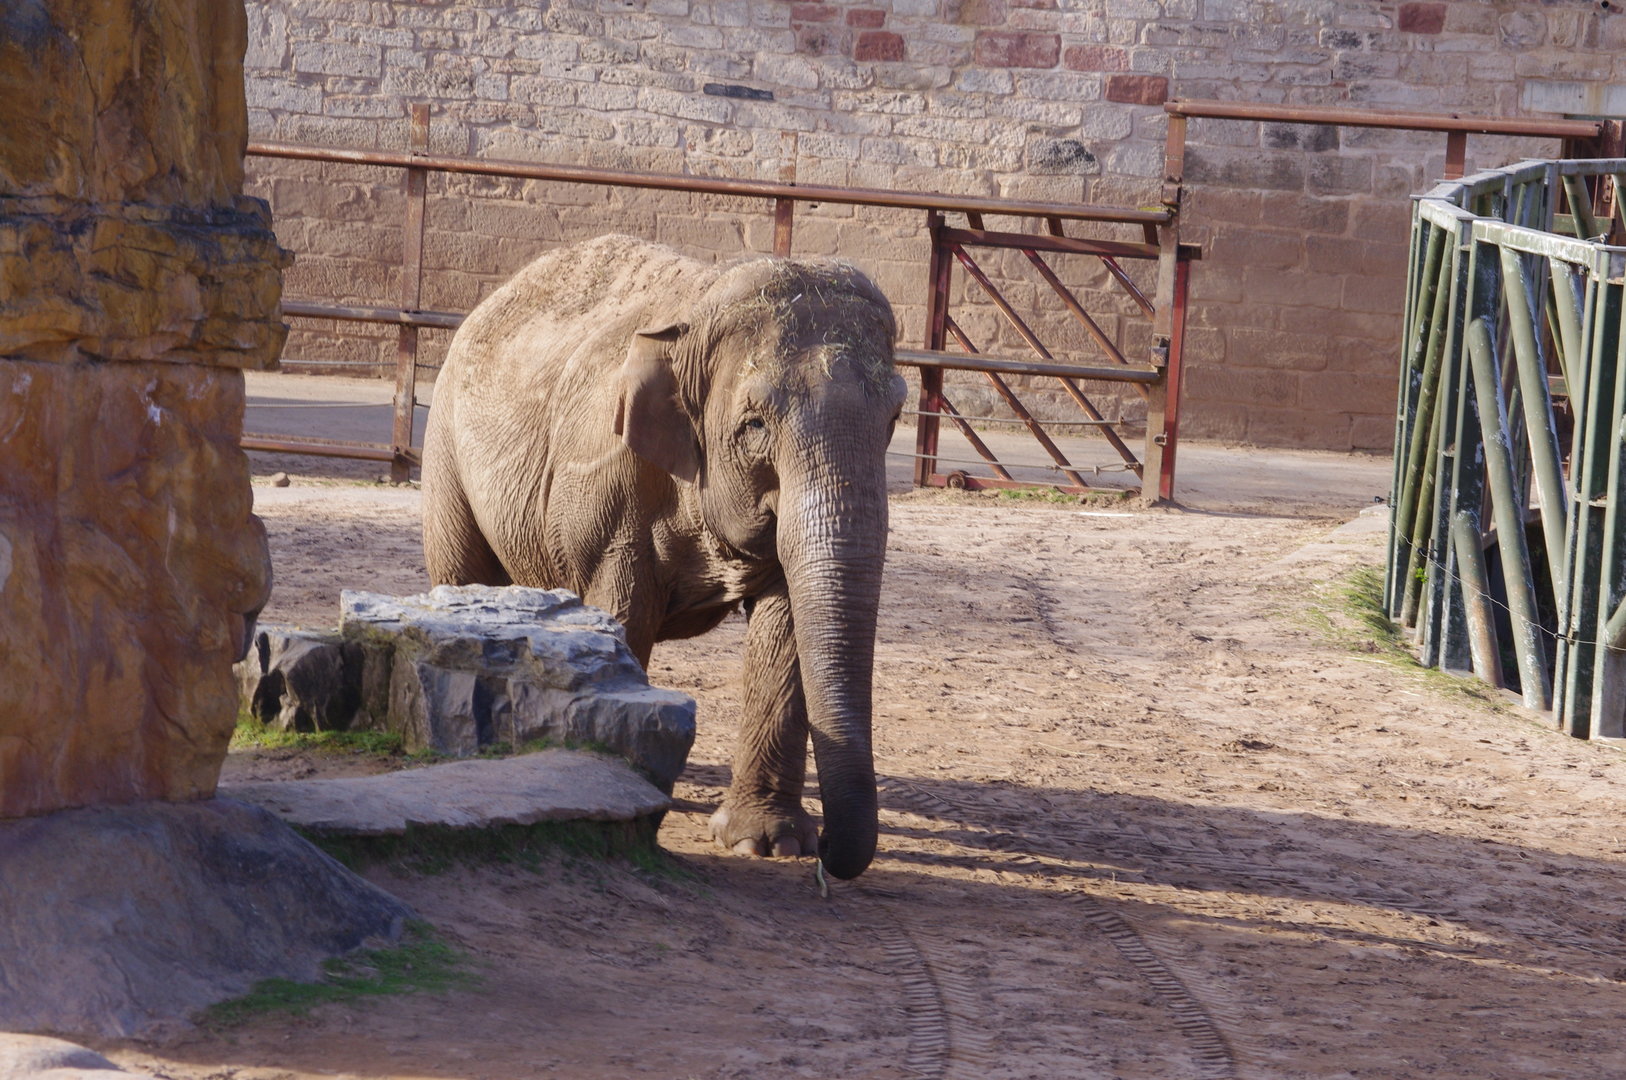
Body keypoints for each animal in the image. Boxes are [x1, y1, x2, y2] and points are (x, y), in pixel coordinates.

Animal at [421, 234, 906, 880]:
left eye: (895, 417)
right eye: (754, 424)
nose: (828, 853)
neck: (696, 316)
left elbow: (785, 625)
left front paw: (768, 844)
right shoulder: (605, 479)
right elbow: (621, 612)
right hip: (445, 446)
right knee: (464, 575)